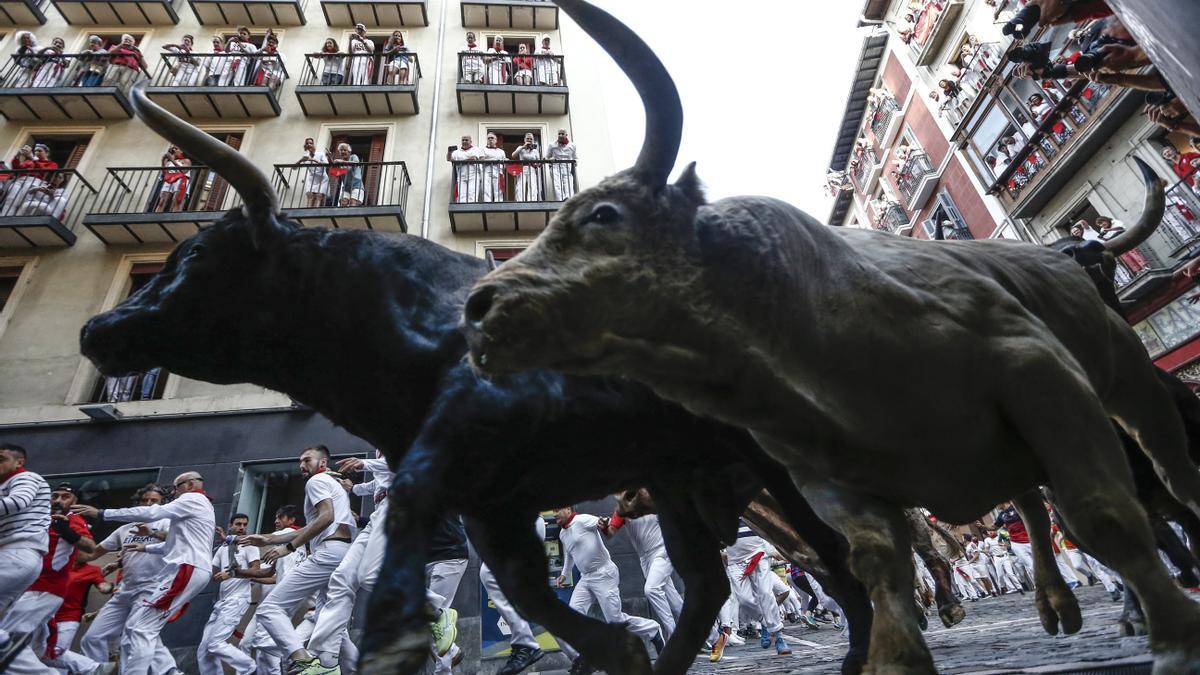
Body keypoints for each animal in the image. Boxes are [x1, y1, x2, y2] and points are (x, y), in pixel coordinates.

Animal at [84, 82, 873, 672]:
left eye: (198, 258)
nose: (99, 331)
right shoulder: (493, 508)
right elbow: (561, 609)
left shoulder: (456, 467)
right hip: (678, 476)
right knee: (707, 580)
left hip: (769, 468)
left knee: (833, 557)